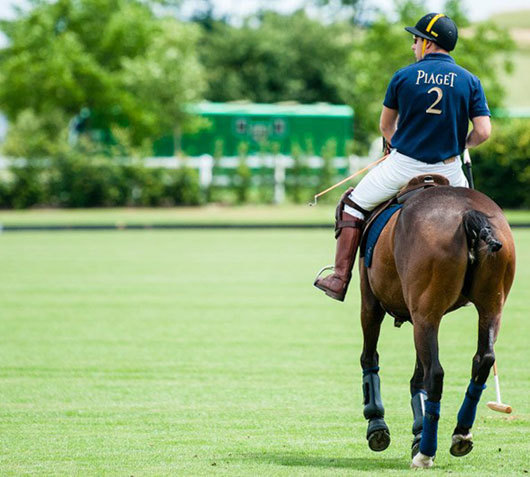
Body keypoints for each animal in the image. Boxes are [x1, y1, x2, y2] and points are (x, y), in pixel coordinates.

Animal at [356, 180, 512, 466]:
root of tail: (469, 214)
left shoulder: (371, 299)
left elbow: (369, 357)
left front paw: (377, 424)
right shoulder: (418, 313)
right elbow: (416, 377)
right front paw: (417, 434)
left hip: (426, 312)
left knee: (435, 374)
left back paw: (426, 453)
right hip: (490, 305)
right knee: (483, 359)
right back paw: (460, 434)